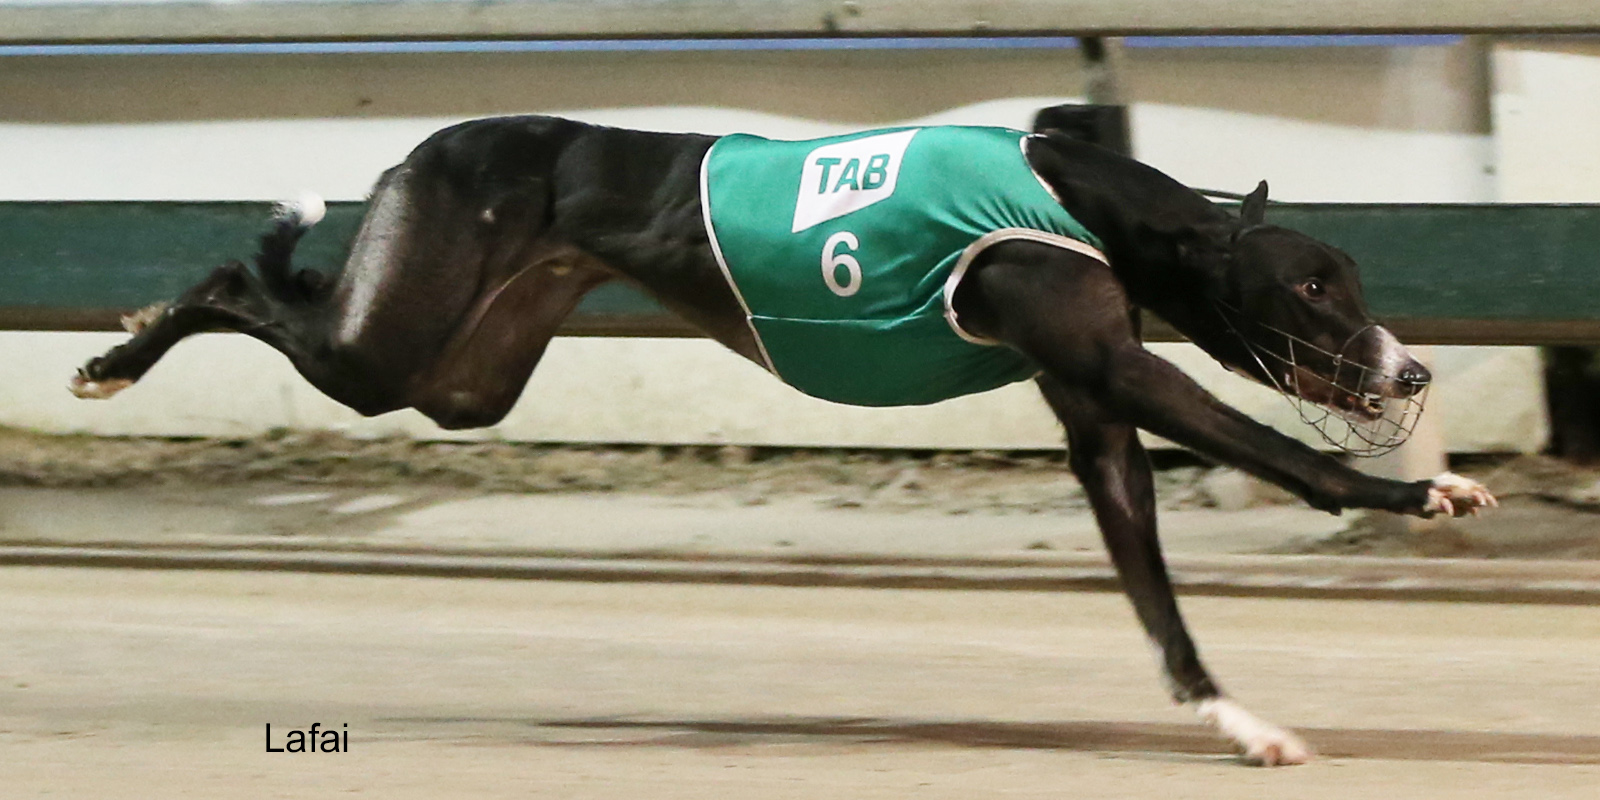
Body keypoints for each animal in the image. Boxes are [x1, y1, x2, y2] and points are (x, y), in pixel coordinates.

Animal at [71, 116, 1497, 765]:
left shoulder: (1093, 406)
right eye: (1311, 285)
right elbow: (1286, 454)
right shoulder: (1115, 362)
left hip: (466, 373)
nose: (1411, 368)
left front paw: (1238, 718)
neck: (1077, 192)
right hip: (390, 342)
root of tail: (428, 146)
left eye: (1350, 276)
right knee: (235, 281)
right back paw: (113, 354)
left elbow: (1153, 589)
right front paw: (1422, 494)